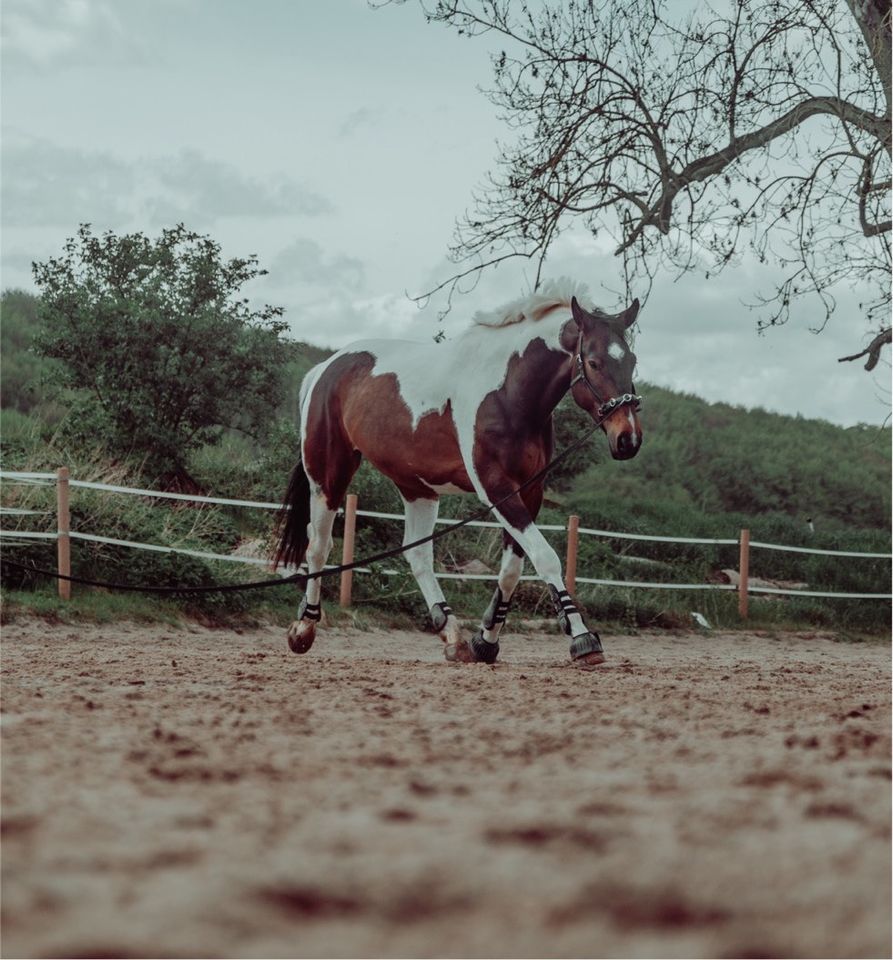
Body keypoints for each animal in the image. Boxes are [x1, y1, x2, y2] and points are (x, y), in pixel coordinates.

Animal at [272, 284, 640, 668]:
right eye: (594, 362)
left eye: (632, 361)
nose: (627, 439)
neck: (508, 391)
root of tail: (325, 368)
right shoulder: (496, 488)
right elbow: (545, 557)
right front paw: (583, 639)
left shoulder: (529, 490)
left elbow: (511, 570)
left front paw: (484, 642)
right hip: (328, 475)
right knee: (318, 545)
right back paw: (304, 628)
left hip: (417, 488)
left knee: (417, 555)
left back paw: (452, 635)